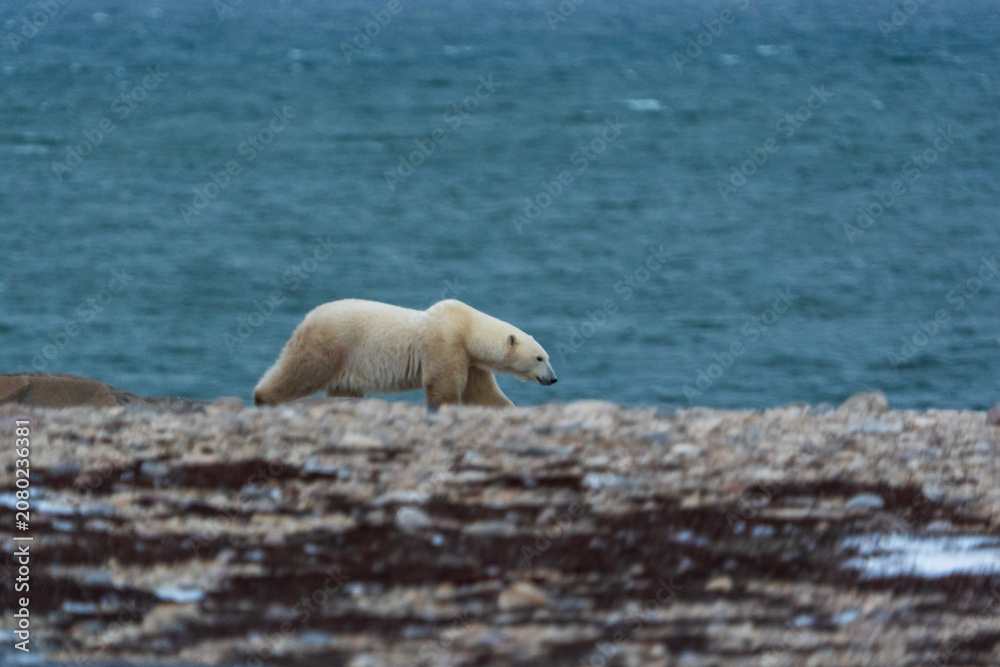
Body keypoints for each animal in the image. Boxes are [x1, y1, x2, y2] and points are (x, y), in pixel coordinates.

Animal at [252, 299, 557, 409]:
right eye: (540, 358)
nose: (553, 379)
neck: (467, 327)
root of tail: (307, 318)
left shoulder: (471, 361)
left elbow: (482, 394)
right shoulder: (445, 343)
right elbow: (443, 386)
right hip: (330, 345)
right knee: (299, 372)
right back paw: (263, 398)